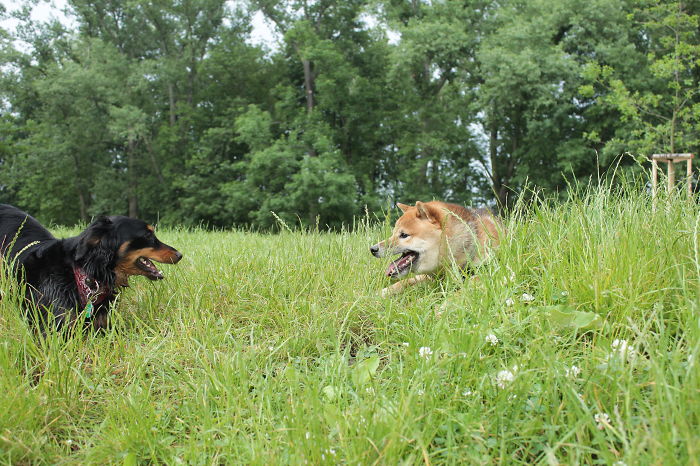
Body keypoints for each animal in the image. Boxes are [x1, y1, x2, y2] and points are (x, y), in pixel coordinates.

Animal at [370, 200, 500, 294]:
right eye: (393, 233)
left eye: (404, 235)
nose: (372, 249)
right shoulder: (431, 276)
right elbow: (404, 282)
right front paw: (380, 293)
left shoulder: (484, 275)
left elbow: (460, 292)